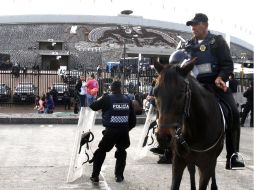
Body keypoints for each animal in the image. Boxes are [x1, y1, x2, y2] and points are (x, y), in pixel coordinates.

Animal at [153, 58, 224, 189]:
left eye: (181, 93)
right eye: (155, 92)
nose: (163, 137)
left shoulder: (206, 167)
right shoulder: (178, 162)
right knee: (192, 170)